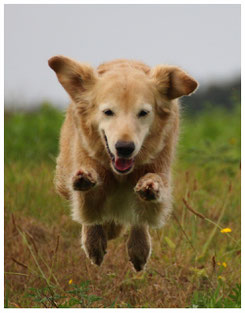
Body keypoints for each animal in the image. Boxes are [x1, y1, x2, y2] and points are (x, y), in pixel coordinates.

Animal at [47, 56, 197, 270]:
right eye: (108, 112)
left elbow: (147, 201)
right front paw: (93, 242)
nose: (124, 148)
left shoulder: (160, 167)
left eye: (143, 112)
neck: (119, 174)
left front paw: (149, 186)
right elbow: (89, 203)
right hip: (62, 176)